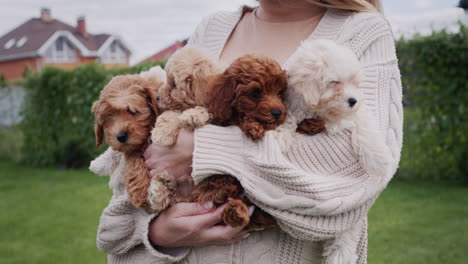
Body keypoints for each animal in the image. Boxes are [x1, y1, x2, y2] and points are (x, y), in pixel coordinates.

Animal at [90, 66, 165, 212]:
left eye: (132, 111)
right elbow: (134, 156)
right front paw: (140, 191)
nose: (120, 136)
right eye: (108, 118)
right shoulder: (132, 148)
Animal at [274, 39, 392, 264]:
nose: (353, 100)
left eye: (354, 83)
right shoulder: (293, 106)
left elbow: (364, 127)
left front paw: (379, 159)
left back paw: (340, 256)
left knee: (345, 236)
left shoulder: (357, 115)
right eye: (334, 82)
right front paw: (280, 135)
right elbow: (288, 118)